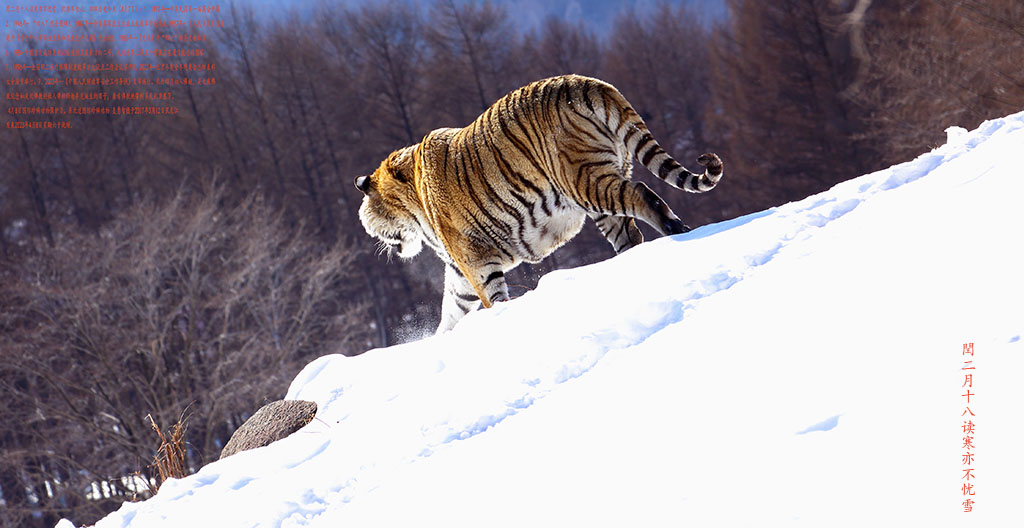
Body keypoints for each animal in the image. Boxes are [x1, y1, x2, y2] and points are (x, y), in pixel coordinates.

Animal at [356, 73, 724, 333]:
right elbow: (452, 310)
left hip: (584, 180)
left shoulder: (474, 259)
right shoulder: (460, 271)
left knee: (642, 194)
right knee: (629, 232)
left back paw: (677, 230)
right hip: (600, 191)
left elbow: (492, 297)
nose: (379, 242)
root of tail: (586, 83)